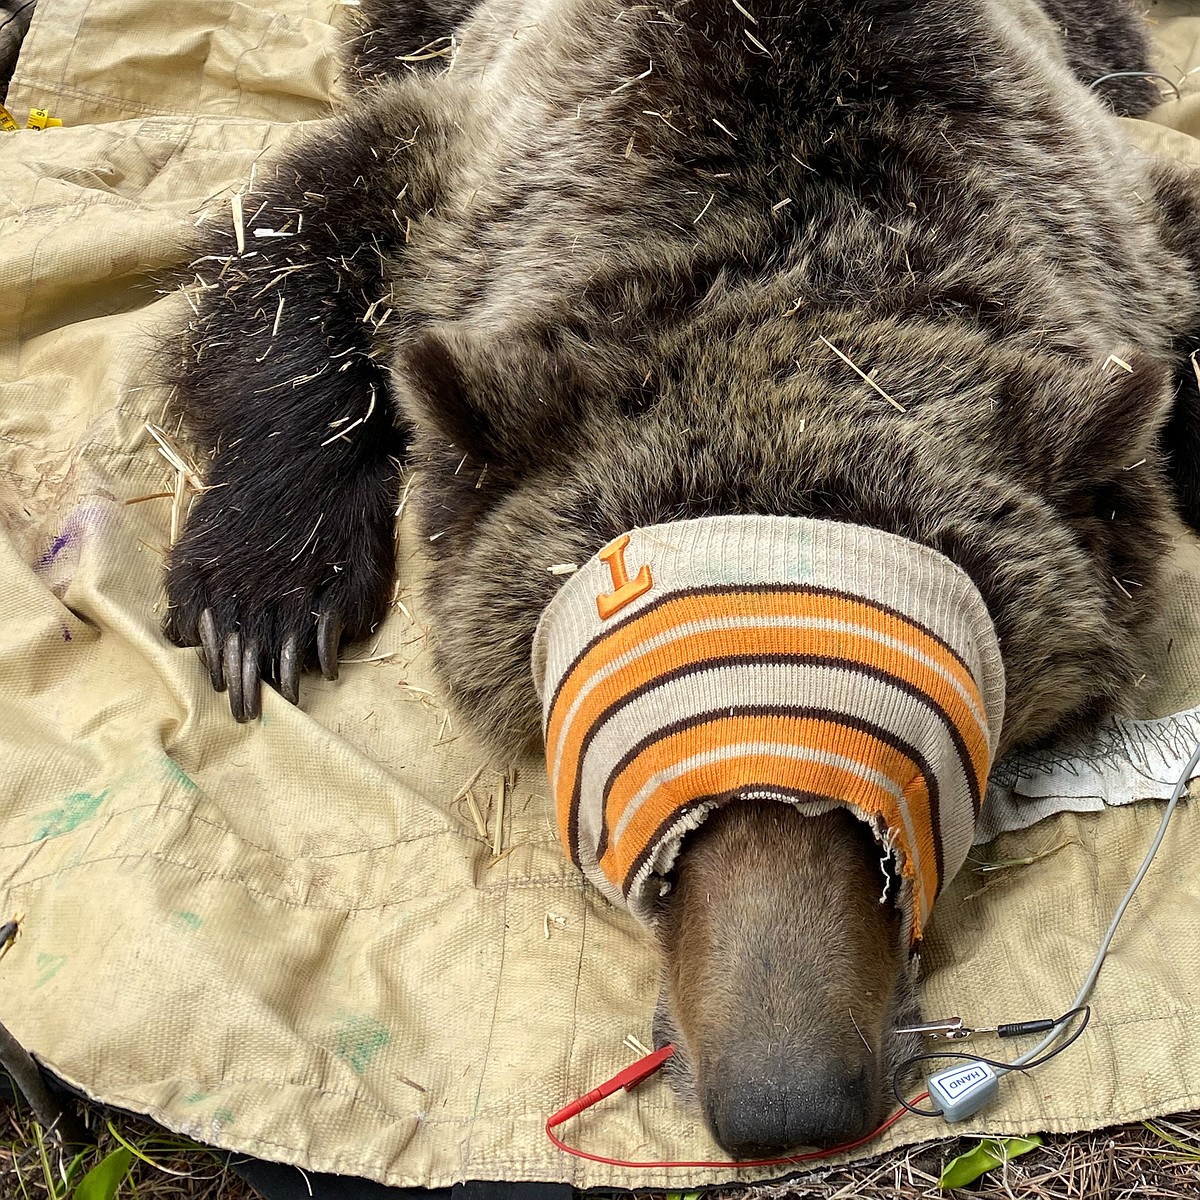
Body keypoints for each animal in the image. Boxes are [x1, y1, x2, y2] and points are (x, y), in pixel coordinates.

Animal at [162, 0, 1200, 1155]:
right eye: (646, 788)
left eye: (904, 780)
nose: (788, 1103)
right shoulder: (470, 168)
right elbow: (296, 234)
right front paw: (260, 601)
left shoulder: (1115, 212)